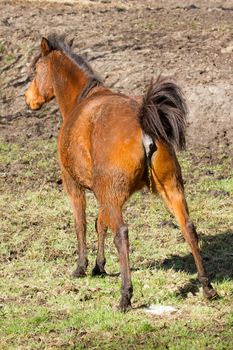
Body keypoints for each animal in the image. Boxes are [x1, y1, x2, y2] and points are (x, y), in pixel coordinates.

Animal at [24, 34, 218, 310]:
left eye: (36, 69)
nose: (28, 97)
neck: (82, 101)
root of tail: (144, 124)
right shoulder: (102, 193)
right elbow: (100, 223)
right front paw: (99, 266)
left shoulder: (74, 185)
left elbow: (82, 224)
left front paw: (82, 267)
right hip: (169, 188)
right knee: (188, 228)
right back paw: (206, 286)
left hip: (115, 194)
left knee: (122, 234)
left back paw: (125, 295)